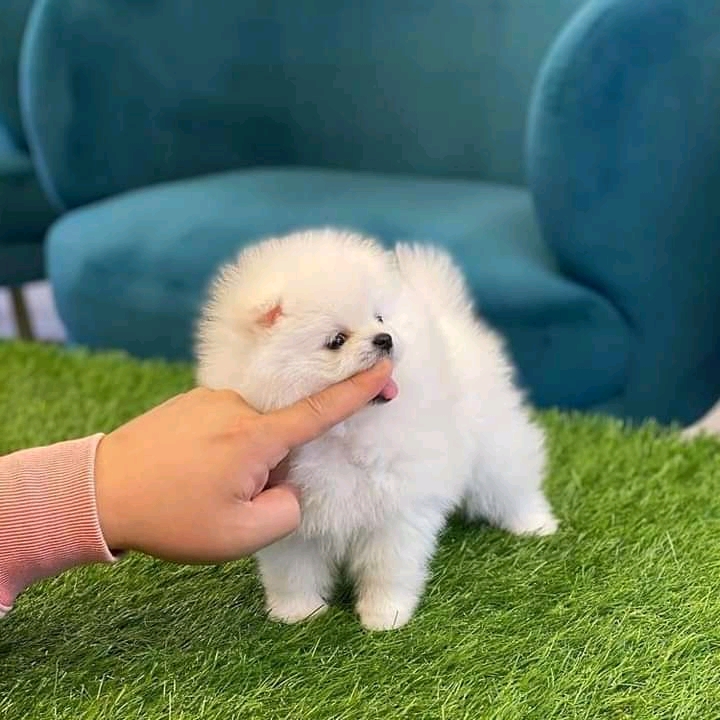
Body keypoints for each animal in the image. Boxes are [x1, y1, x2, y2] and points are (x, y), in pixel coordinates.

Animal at [195, 226, 556, 632]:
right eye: (336, 340)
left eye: (380, 318)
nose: (385, 339)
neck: (345, 432)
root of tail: (447, 315)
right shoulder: (291, 520)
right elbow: (293, 570)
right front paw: (297, 612)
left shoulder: (396, 508)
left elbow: (387, 567)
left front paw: (386, 615)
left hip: (494, 442)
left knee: (511, 482)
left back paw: (535, 523)